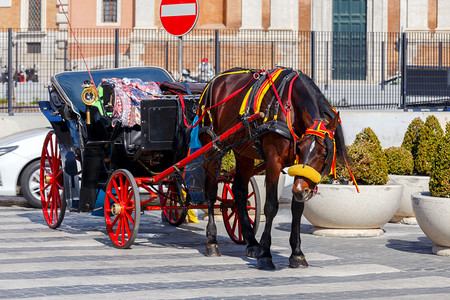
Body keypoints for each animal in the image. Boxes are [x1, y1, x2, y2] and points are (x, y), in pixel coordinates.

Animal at [197, 68, 348, 270]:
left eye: (324, 154)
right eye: (301, 148)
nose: (301, 190)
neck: (290, 110)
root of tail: (214, 81)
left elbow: (297, 209)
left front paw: (297, 254)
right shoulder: (273, 161)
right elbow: (270, 207)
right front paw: (266, 254)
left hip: (243, 151)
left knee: (239, 191)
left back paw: (252, 243)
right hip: (212, 147)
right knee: (211, 192)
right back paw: (212, 242)